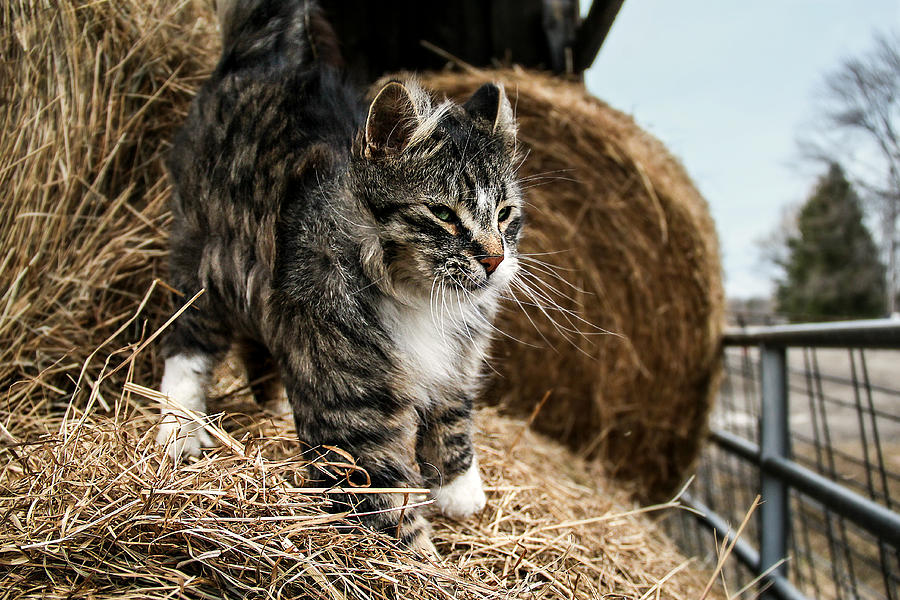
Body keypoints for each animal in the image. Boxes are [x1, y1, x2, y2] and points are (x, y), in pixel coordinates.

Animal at [154, 0, 520, 552]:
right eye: (444, 215)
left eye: (504, 214)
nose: (494, 260)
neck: (418, 297)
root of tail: (267, 59)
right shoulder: (355, 416)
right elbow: (391, 509)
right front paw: (423, 561)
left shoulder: (454, 367)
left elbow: (453, 420)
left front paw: (460, 491)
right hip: (204, 263)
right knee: (188, 347)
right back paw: (179, 431)